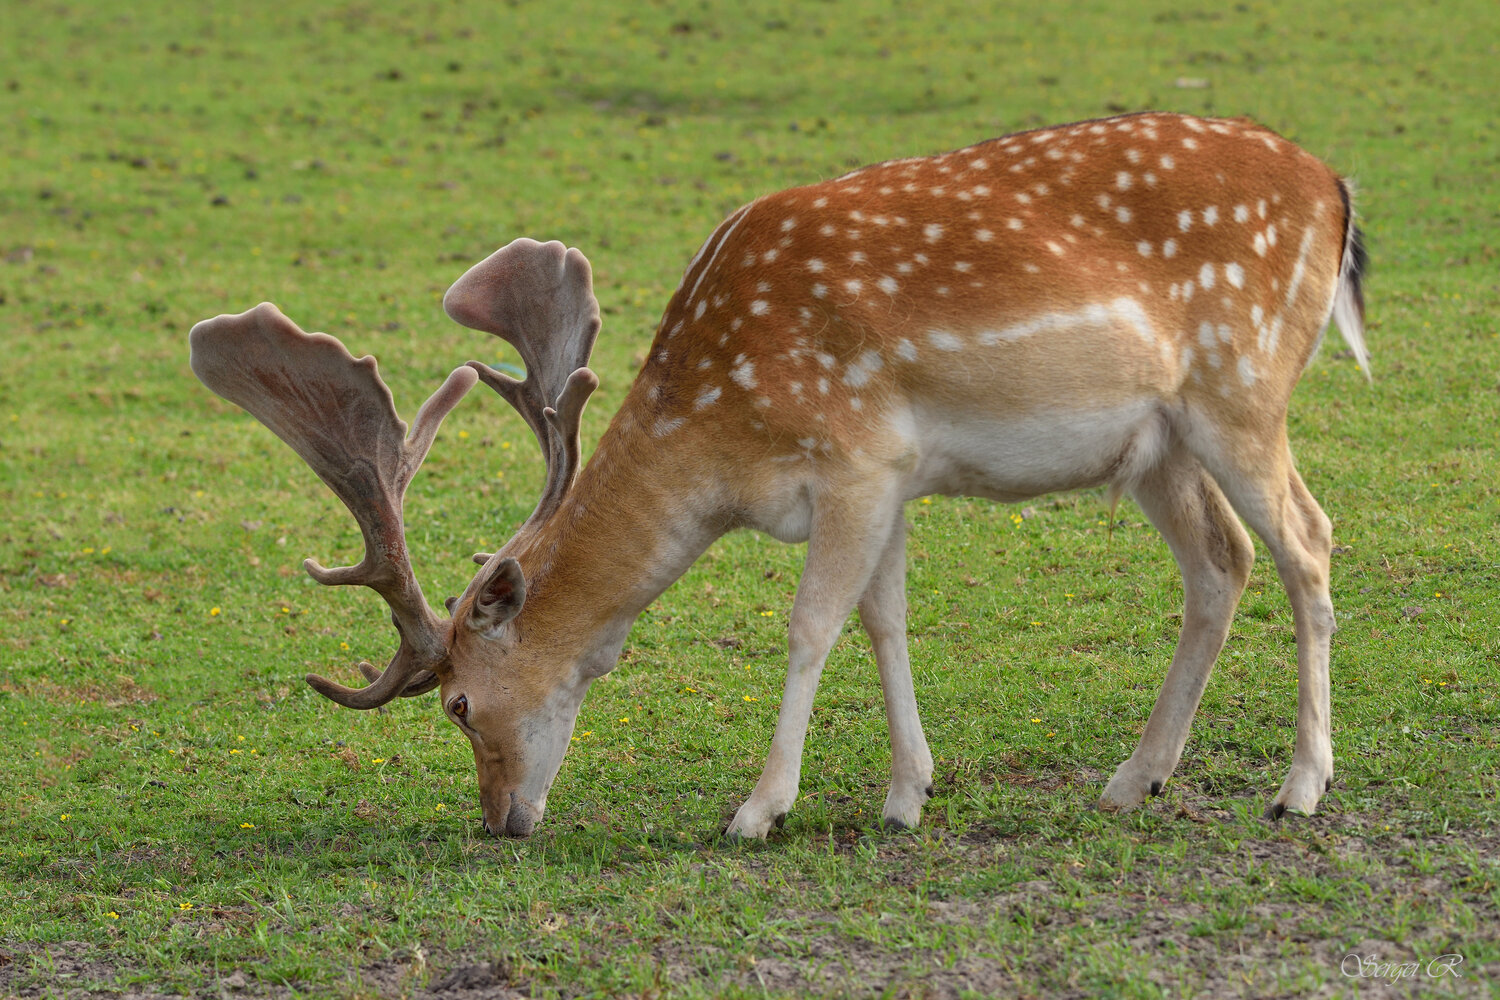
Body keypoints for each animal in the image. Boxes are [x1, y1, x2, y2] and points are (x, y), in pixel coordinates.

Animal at [190, 112, 1368, 839]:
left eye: (460, 705)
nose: (500, 820)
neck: (723, 440)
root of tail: (1335, 187)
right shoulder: (893, 478)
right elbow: (886, 620)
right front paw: (907, 793)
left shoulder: (854, 459)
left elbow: (810, 627)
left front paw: (759, 809)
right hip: (1158, 442)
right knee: (1223, 560)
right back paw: (1135, 777)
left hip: (1242, 383)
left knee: (1309, 540)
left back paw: (1300, 787)